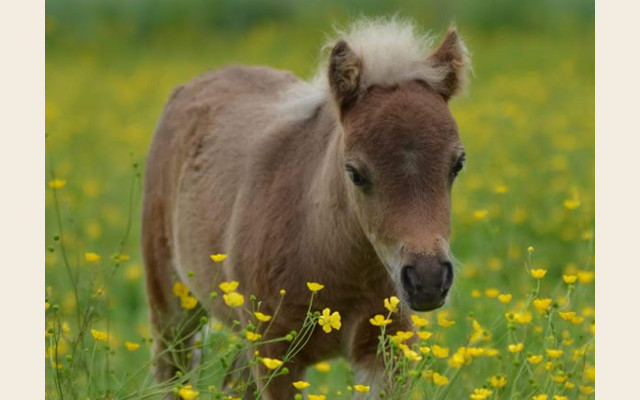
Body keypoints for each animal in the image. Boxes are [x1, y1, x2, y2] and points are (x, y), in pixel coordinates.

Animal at [141, 17, 470, 398]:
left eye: (457, 164)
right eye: (355, 172)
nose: (428, 279)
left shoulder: (387, 348)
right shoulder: (275, 352)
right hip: (173, 304)